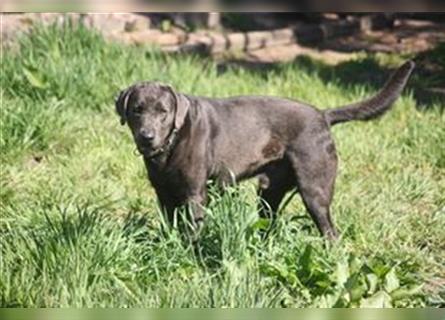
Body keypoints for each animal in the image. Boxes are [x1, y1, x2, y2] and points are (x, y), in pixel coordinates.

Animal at [114, 60, 412, 240]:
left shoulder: (195, 195)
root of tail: (323, 115)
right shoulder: (163, 194)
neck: (170, 146)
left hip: (315, 190)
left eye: (163, 112)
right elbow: (170, 225)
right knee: (270, 221)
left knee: (331, 232)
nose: (147, 137)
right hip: (269, 193)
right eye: (137, 110)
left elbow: (192, 231)